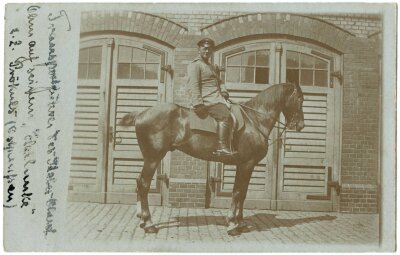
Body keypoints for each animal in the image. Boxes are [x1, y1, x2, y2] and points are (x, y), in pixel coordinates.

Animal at [120, 81, 304, 235]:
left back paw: (142, 220)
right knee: (143, 185)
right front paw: (233, 224)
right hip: (153, 158)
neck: (254, 121)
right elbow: (238, 192)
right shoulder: (246, 164)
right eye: (299, 99)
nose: (301, 126)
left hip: (149, 158)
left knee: (139, 183)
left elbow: (242, 193)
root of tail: (142, 113)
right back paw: (149, 223)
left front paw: (240, 222)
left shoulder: (244, 165)